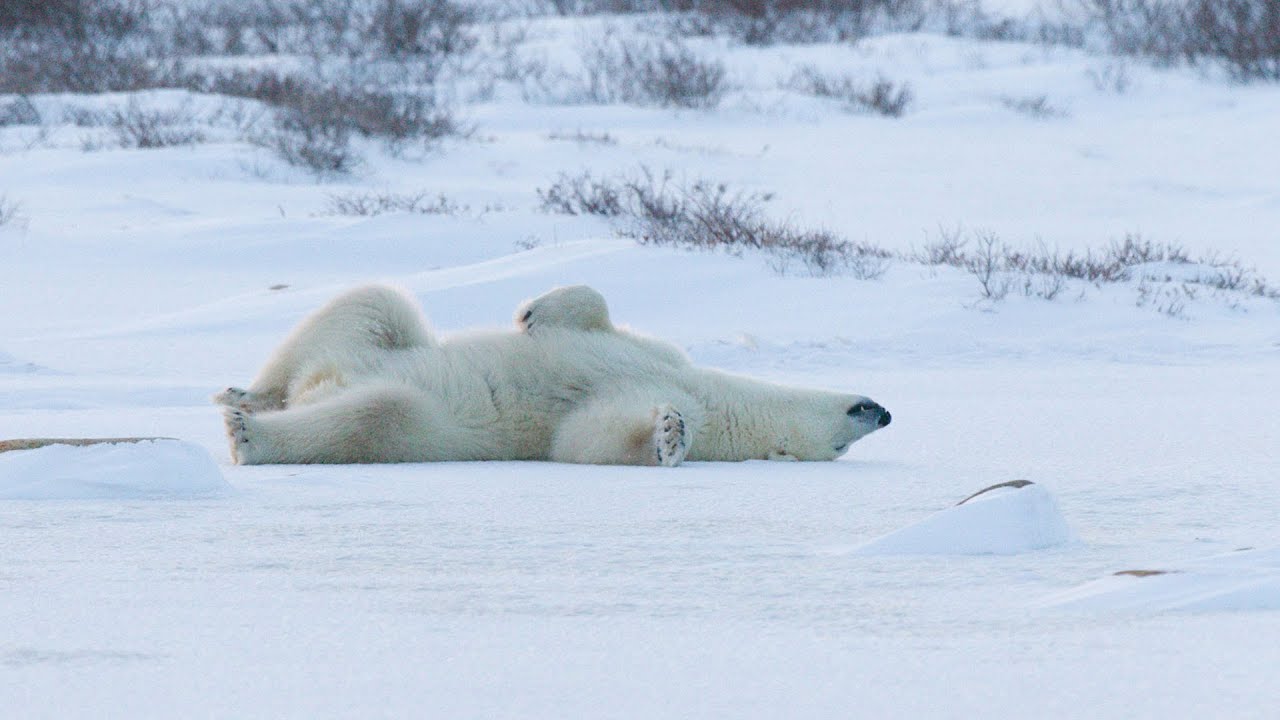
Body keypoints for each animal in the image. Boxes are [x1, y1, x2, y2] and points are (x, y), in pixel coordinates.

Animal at [212, 284, 890, 466]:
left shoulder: (656, 392)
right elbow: (592, 315)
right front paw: (532, 312)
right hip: (360, 342)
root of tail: (322, 382)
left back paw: (251, 433)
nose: (883, 411)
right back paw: (246, 392)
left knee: (380, 414)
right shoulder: (661, 357)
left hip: (418, 422)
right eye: (846, 435)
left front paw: (668, 436)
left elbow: (586, 437)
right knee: (372, 303)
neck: (715, 398)